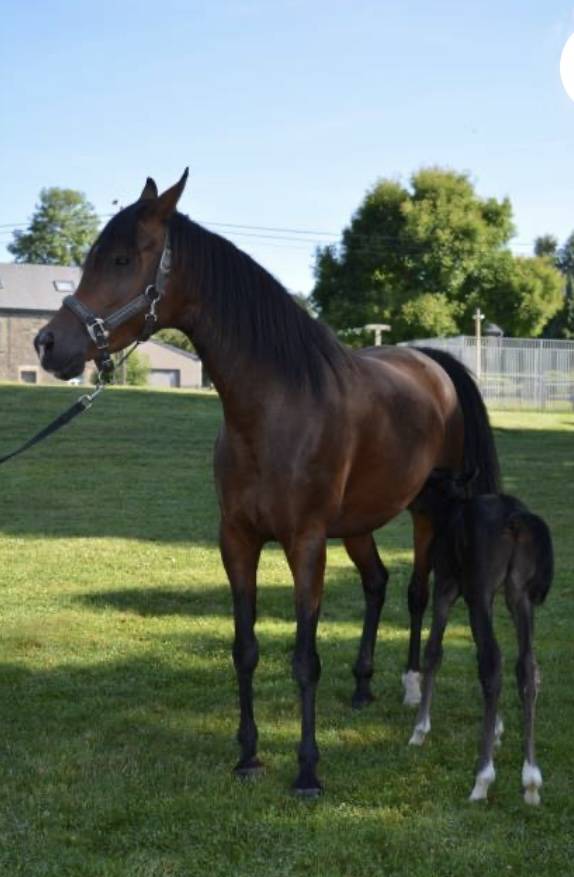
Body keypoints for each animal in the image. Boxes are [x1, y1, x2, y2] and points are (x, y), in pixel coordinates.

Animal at [34, 171, 500, 795]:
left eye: (123, 258)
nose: (47, 344)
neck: (276, 409)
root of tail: (430, 364)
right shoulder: (237, 541)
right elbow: (246, 649)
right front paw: (249, 755)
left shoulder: (305, 544)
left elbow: (304, 659)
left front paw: (307, 769)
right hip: (357, 524)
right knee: (377, 583)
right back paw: (362, 686)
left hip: (429, 512)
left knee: (419, 591)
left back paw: (409, 687)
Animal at [408, 472, 553, 805]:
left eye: (425, 484)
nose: (408, 502)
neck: (448, 510)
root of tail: (516, 517)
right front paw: (497, 729)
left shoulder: (446, 587)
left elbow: (433, 651)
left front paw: (420, 729)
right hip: (519, 596)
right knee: (527, 668)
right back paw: (531, 781)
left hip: (479, 593)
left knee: (491, 662)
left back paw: (482, 779)